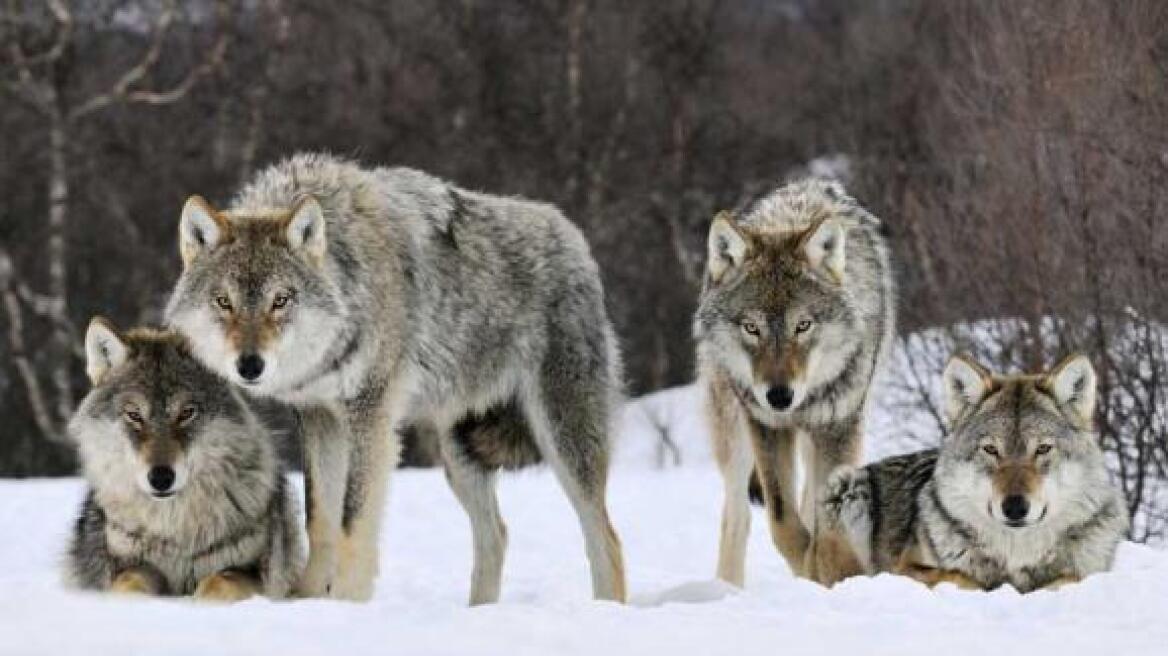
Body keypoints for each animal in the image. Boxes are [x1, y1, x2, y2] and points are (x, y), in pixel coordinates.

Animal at [65, 319, 303, 602]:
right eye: (134, 415)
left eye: (186, 413)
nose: (160, 478)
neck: (175, 530)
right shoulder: (129, 566)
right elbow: (128, 585)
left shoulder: (251, 572)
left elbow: (217, 584)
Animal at [165, 152, 630, 602]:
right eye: (223, 302)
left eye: (281, 300)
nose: (250, 365)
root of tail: (574, 238)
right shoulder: (319, 416)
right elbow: (320, 519)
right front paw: (307, 599)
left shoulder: (369, 415)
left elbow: (353, 522)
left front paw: (347, 603)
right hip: (458, 454)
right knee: (496, 535)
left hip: (562, 439)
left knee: (605, 537)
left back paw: (605, 608)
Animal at [691, 177, 892, 581]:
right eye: (751, 328)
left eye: (803, 325)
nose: (780, 396)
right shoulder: (766, 426)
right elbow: (783, 521)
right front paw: (809, 567)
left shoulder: (839, 428)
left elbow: (822, 521)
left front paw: (826, 569)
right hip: (734, 432)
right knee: (737, 516)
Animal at [812, 354, 1130, 590]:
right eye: (990, 450)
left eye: (1042, 449)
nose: (1015, 507)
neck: (1016, 554)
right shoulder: (905, 567)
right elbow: (960, 576)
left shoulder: (1087, 572)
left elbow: (1067, 579)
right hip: (847, 486)